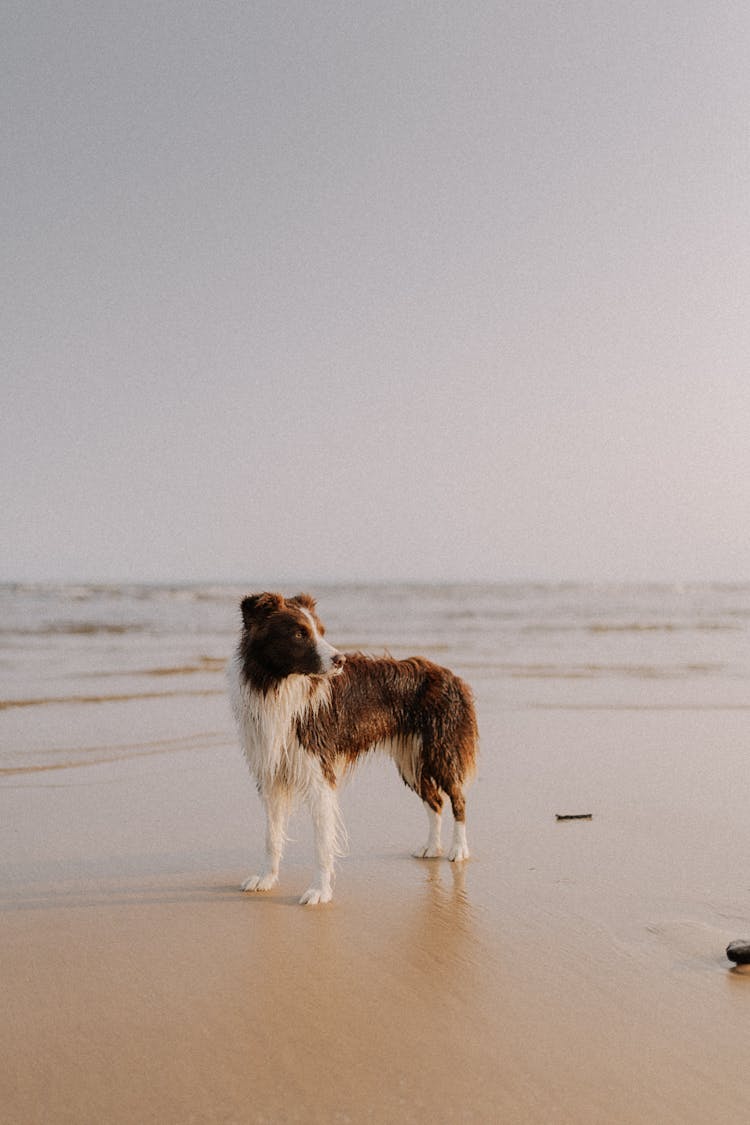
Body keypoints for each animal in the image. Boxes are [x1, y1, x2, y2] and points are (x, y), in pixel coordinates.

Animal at [226, 594, 479, 900]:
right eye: (299, 634)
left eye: (321, 632)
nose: (340, 660)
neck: (279, 684)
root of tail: (450, 675)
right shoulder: (271, 773)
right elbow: (271, 836)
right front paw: (265, 879)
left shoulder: (319, 772)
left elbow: (322, 842)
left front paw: (319, 891)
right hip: (411, 760)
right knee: (435, 801)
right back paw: (431, 847)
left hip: (441, 750)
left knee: (457, 798)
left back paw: (459, 849)